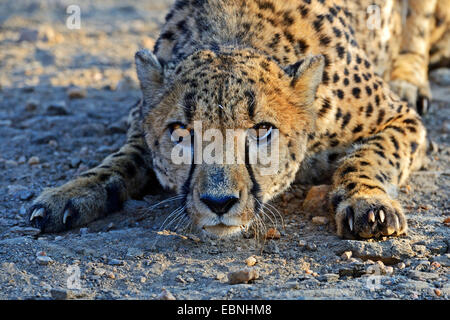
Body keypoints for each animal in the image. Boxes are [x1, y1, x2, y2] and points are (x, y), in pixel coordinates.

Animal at [28, 0, 446, 240]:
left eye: (262, 130)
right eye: (181, 132)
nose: (219, 202)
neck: (233, 31)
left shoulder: (400, 120)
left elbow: (368, 157)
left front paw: (369, 202)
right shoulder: (140, 121)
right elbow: (120, 160)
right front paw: (69, 192)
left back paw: (409, 78)